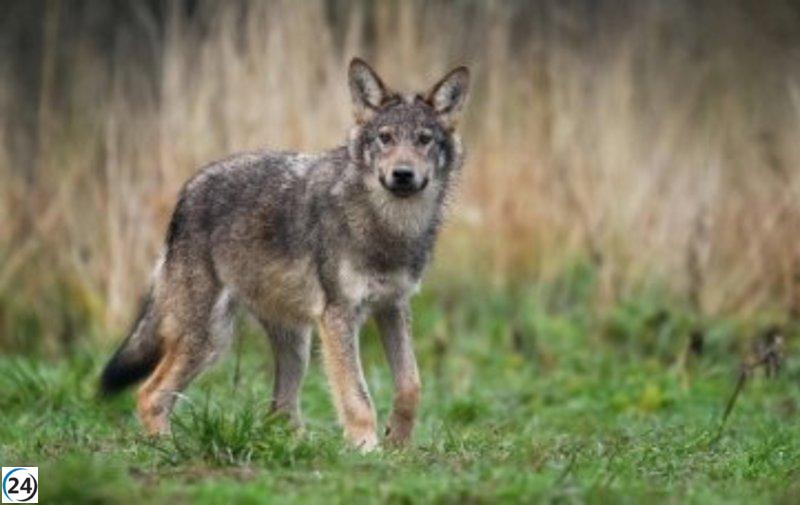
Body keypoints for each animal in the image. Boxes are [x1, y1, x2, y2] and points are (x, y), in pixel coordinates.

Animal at [99, 58, 470, 451]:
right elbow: (357, 396)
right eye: (385, 138)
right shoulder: (339, 316)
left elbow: (411, 385)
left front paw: (397, 443)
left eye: (424, 139)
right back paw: (169, 447)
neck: (388, 227)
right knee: (150, 394)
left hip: (296, 345)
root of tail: (188, 191)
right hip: (210, 340)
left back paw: (297, 447)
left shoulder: (393, 307)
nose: (402, 174)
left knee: (280, 410)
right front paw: (367, 449)